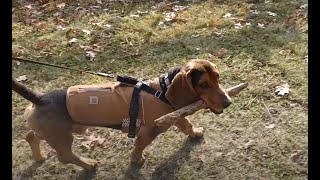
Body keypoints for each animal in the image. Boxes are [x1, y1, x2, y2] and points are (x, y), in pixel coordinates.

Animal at [11, 58, 230, 170]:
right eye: (204, 84)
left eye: (218, 78)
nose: (228, 103)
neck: (162, 89)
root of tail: (39, 98)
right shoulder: (148, 131)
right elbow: (139, 146)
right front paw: (136, 161)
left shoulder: (175, 117)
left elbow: (187, 125)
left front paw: (195, 133)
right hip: (62, 138)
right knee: (65, 157)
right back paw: (88, 164)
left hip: (50, 133)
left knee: (30, 136)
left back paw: (39, 156)